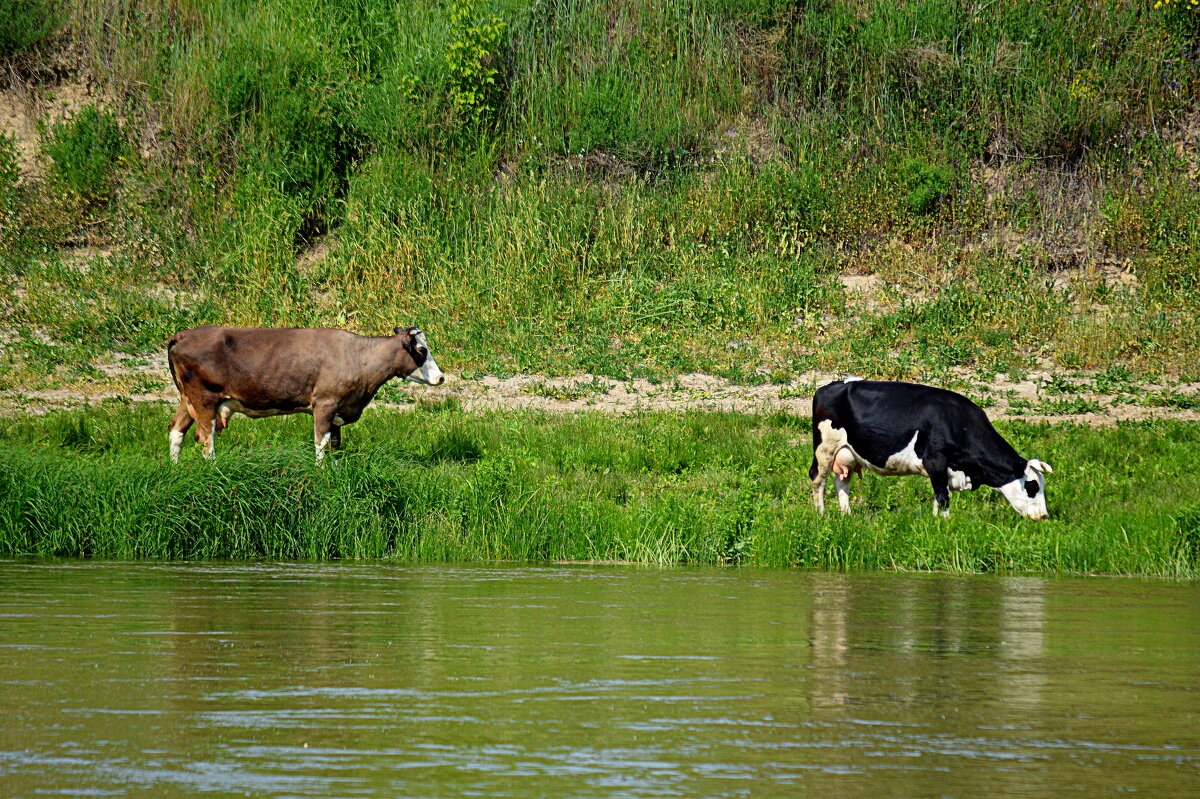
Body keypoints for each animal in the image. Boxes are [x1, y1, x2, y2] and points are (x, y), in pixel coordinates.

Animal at [166, 323, 444, 460]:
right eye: (421, 350)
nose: (441, 377)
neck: (359, 356)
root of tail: (183, 335)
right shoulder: (325, 404)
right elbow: (321, 444)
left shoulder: (338, 411)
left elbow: (335, 446)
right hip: (205, 399)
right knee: (206, 439)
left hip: (187, 399)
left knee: (176, 430)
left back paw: (175, 469)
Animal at [811, 379, 1056, 520]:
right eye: (1032, 486)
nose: (1044, 516)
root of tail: (831, 385)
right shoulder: (935, 461)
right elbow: (943, 496)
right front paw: (946, 523)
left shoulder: (943, 470)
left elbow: (939, 495)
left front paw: (936, 521)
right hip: (825, 447)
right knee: (818, 478)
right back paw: (820, 514)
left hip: (847, 453)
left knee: (842, 481)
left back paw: (846, 515)